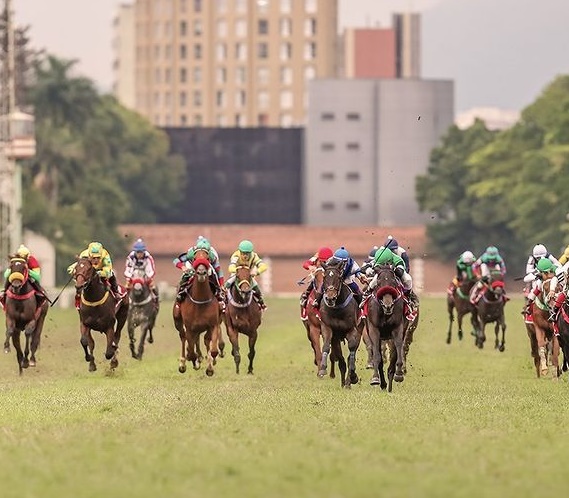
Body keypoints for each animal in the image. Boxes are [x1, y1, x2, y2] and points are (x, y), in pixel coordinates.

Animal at [316, 256, 364, 390]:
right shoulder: (328, 328)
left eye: (338, 277)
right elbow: (326, 346)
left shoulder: (352, 330)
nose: (330, 298)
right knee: (340, 359)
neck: (337, 308)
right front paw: (322, 369)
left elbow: (351, 352)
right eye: (325, 277)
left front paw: (353, 377)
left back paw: (348, 381)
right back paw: (343, 382)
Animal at [366, 264, 410, 392]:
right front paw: (375, 378)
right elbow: (377, 356)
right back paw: (383, 384)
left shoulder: (398, 328)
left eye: (394, 282)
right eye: (379, 283)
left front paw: (399, 374)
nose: (388, 305)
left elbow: (397, 351)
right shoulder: (373, 329)